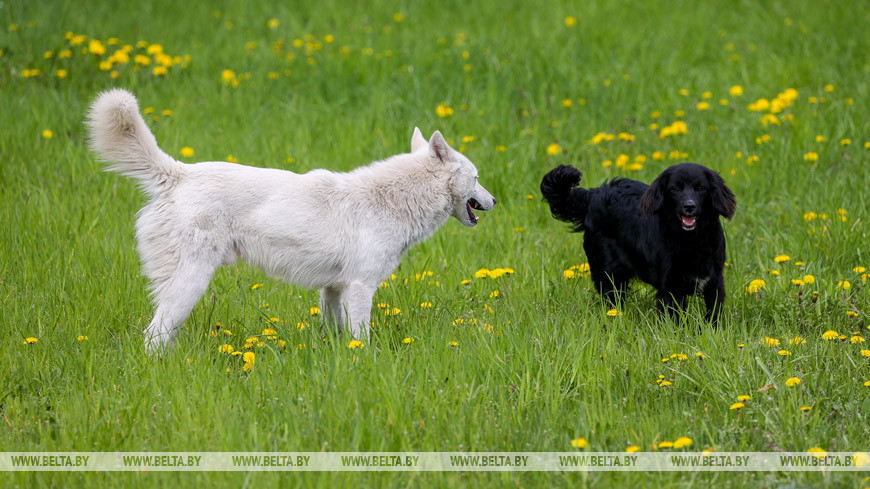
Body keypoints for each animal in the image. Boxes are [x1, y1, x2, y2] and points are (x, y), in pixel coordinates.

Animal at [90, 89, 498, 350]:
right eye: (477, 177)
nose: (495, 201)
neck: (393, 200)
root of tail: (178, 174)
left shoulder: (333, 290)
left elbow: (337, 333)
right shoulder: (360, 288)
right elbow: (361, 339)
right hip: (191, 281)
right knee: (153, 337)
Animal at [544, 164, 736, 322]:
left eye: (700, 188)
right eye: (675, 188)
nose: (689, 206)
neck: (692, 240)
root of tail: (594, 195)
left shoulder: (715, 280)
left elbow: (713, 313)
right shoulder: (671, 287)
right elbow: (675, 318)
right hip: (608, 273)